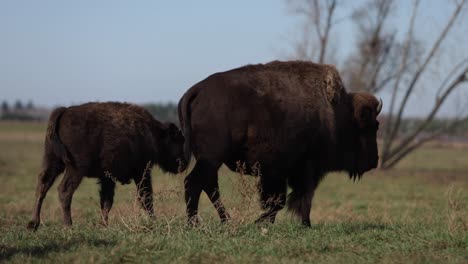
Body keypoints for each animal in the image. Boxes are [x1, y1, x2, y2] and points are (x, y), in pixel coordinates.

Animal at [27, 102, 186, 230]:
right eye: (178, 141)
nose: (183, 164)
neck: (153, 133)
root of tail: (64, 111)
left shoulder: (107, 178)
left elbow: (106, 202)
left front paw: (104, 224)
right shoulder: (142, 171)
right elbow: (146, 197)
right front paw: (154, 221)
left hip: (53, 161)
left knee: (42, 186)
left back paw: (33, 224)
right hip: (75, 168)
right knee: (64, 190)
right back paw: (68, 225)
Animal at [178, 60, 380, 226]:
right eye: (371, 128)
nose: (375, 161)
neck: (338, 115)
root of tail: (197, 90)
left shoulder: (283, 173)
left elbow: (285, 200)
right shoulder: (300, 169)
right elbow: (294, 199)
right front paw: (301, 224)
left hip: (210, 161)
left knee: (208, 186)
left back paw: (224, 221)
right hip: (211, 159)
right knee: (194, 183)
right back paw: (196, 224)